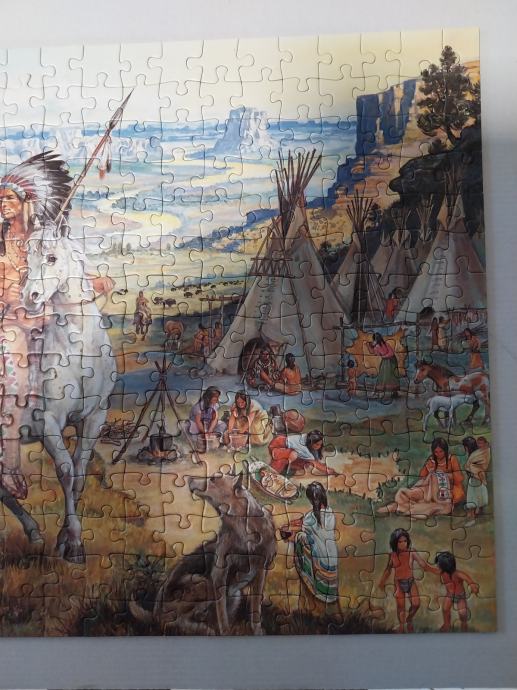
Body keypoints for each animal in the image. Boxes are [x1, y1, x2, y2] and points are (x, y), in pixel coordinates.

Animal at [21, 231, 116, 562]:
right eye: (27, 257)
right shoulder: (47, 423)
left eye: (51, 257)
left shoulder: (95, 417)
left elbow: (79, 472)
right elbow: (65, 472)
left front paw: (64, 537)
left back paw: (33, 531)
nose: (30, 298)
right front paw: (73, 542)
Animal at [129, 472, 276, 635]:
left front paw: (257, 632)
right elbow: (222, 617)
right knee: (174, 622)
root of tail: (155, 612)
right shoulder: (219, 576)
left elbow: (254, 612)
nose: (188, 478)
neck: (243, 528)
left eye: (213, 479)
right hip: (202, 583)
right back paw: (203, 629)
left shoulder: (261, 572)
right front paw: (225, 633)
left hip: (234, 595)